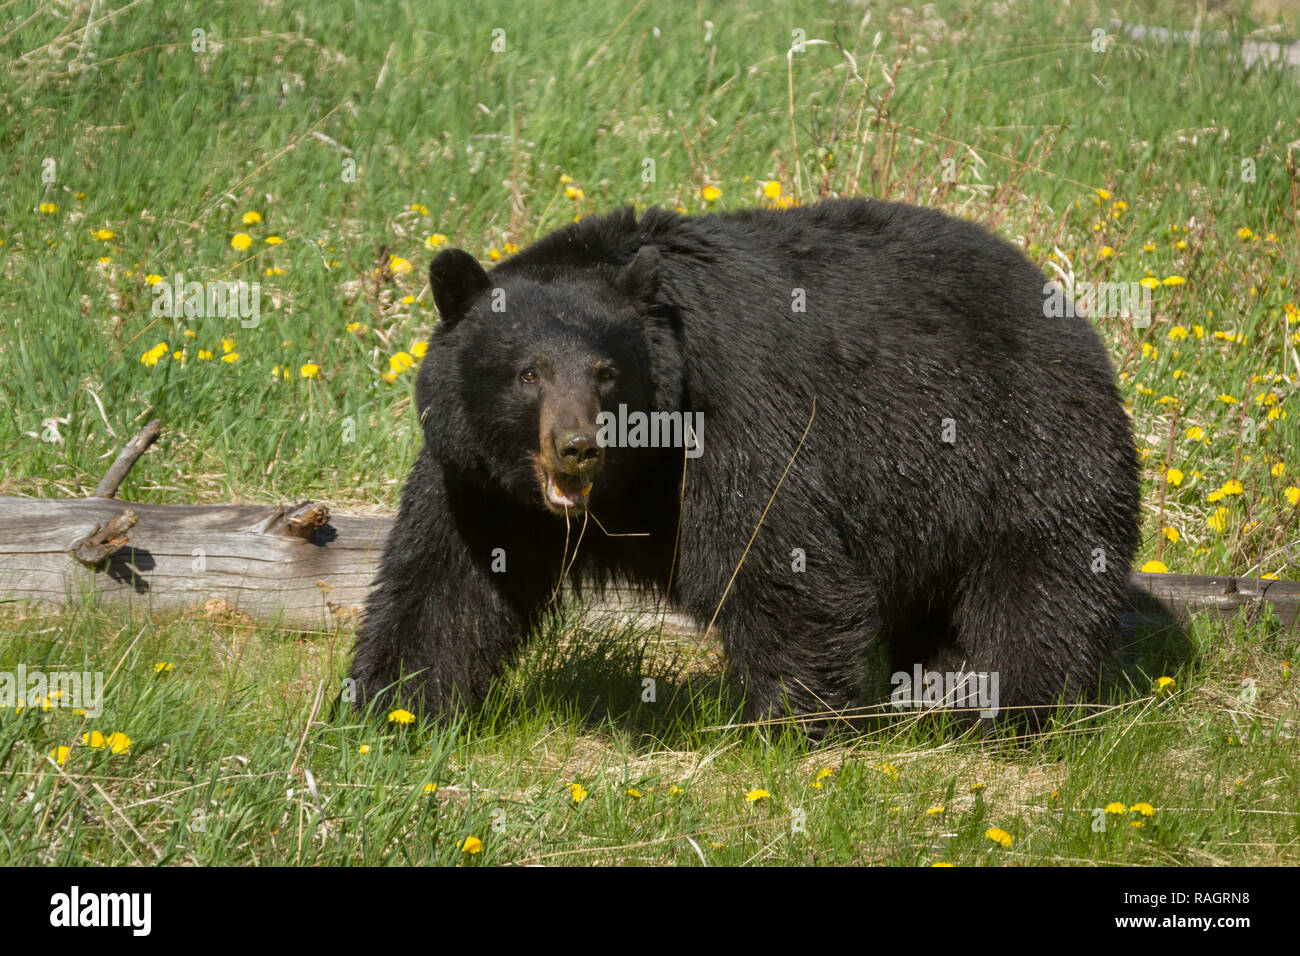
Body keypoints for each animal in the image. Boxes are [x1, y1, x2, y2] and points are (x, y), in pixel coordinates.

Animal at [349, 198, 1141, 732]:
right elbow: (448, 580)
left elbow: (775, 554)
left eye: (606, 372)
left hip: (1026, 444)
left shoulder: (732, 405)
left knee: (1036, 592)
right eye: (527, 373)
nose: (577, 445)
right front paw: (392, 709)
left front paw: (787, 724)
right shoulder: (477, 479)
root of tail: (1063, 302)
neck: (633, 473)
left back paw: (1015, 711)